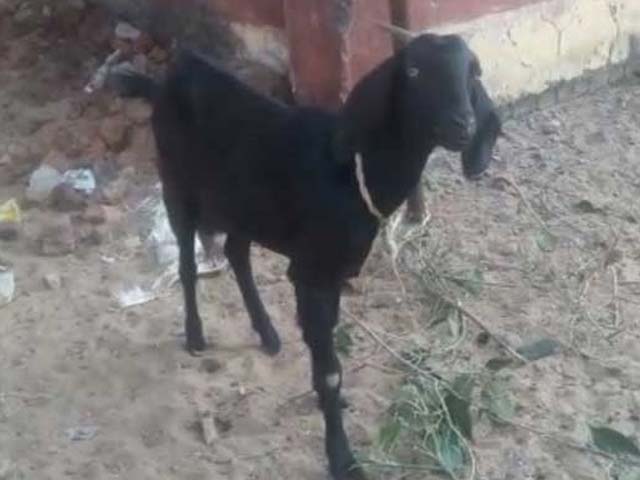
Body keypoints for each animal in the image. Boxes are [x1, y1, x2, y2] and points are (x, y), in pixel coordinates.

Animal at [111, 33, 501, 480]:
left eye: (473, 72)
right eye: (414, 71)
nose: (462, 124)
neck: (355, 175)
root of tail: (165, 83)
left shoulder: (331, 274)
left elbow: (327, 362)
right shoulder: (313, 272)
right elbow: (330, 373)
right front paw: (342, 458)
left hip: (246, 207)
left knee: (235, 252)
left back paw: (267, 333)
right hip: (177, 185)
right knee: (188, 264)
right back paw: (195, 336)